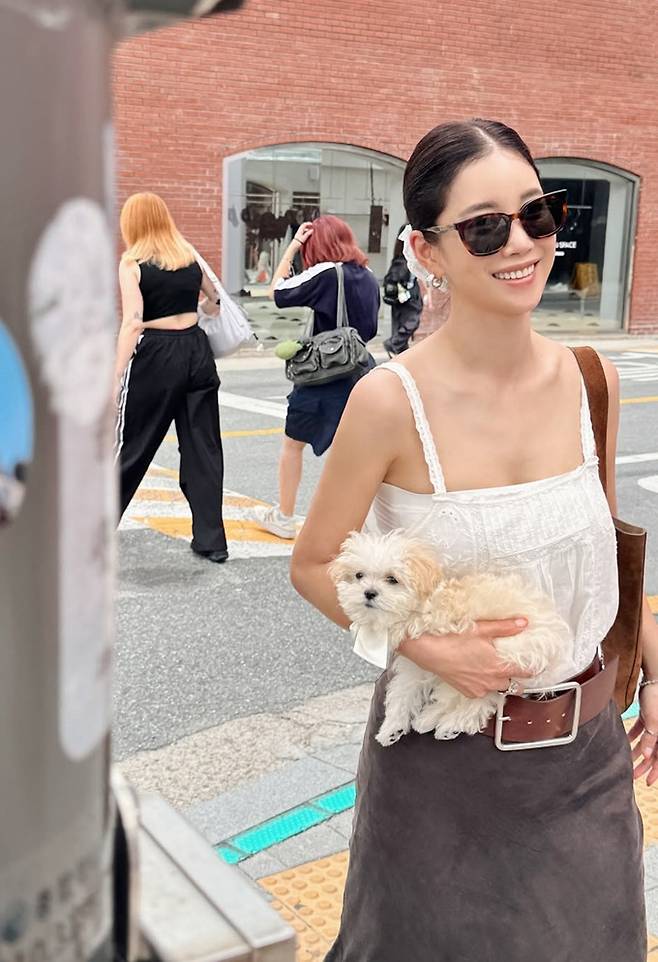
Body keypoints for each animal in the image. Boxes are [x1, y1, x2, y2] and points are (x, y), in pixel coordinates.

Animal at [329, 529, 571, 745]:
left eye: (392, 579)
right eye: (359, 575)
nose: (369, 593)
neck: (422, 602)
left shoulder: (446, 636)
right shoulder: (417, 664)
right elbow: (403, 691)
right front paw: (392, 727)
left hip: (506, 654)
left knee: (482, 699)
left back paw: (450, 723)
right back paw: (428, 719)